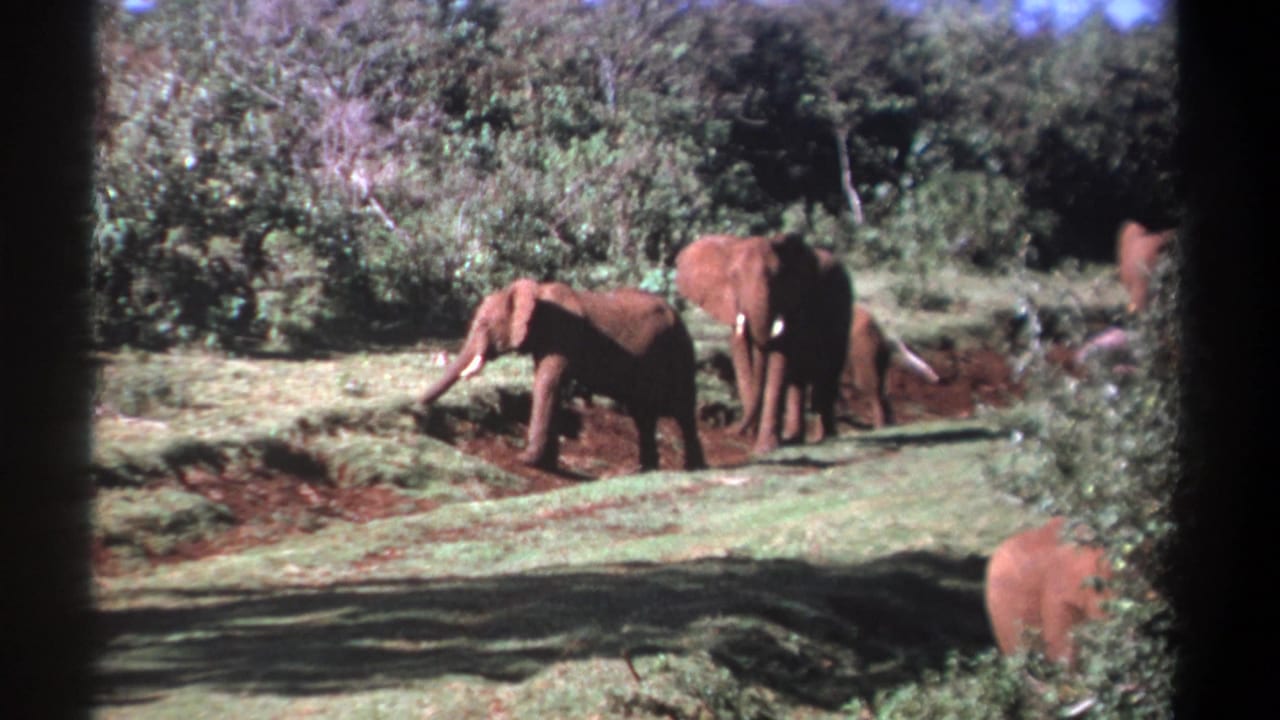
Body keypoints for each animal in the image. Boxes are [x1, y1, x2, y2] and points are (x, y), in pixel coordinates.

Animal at [419, 279, 706, 472]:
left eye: (484, 324)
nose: (417, 403)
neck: (536, 292)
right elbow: (552, 387)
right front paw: (546, 462)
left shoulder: (563, 333)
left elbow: (547, 382)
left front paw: (526, 460)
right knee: (643, 413)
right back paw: (644, 470)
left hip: (679, 349)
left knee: (682, 408)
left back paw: (694, 469)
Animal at [675, 233, 853, 454]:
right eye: (734, 277)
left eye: (776, 277)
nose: (731, 430)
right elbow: (741, 354)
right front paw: (753, 436)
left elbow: (780, 357)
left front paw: (764, 448)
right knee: (799, 379)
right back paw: (795, 438)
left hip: (842, 310)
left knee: (827, 373)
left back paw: (825, 437)